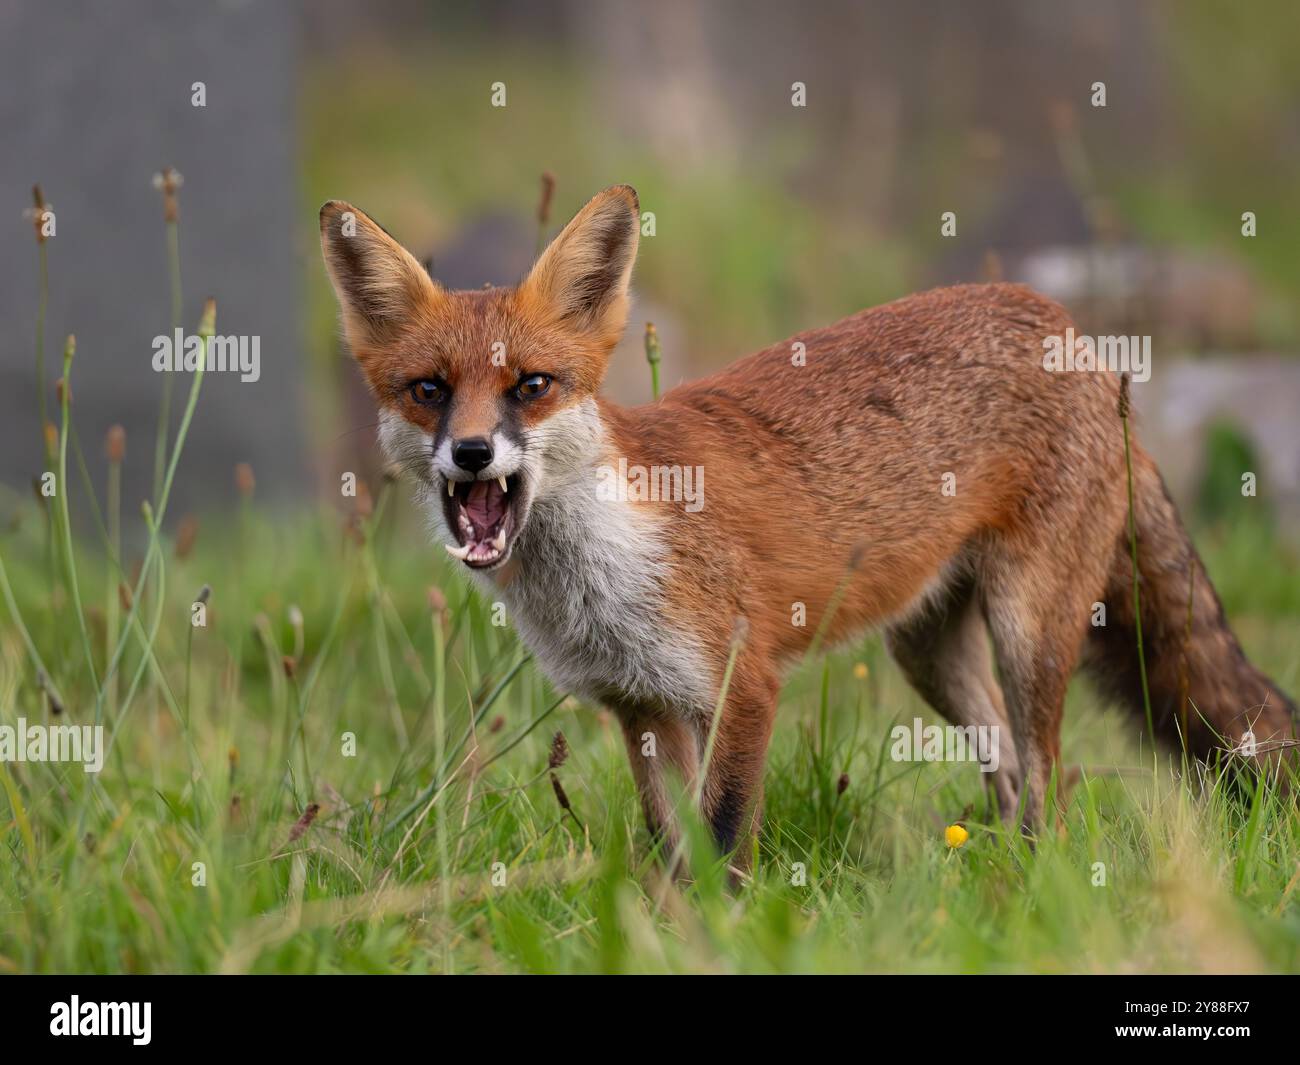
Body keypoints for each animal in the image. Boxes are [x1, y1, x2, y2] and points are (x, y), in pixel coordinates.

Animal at [319, 184, 1297, 862]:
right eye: (430, 391)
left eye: (530, 385)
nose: (472, 453)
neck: (606, 568)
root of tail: (1070, 326)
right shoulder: (640, 704)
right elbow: (671, 850)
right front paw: (674, 936)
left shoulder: (745, 683)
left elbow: (721, 840)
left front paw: (725, 935)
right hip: (928, 654)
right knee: (1015, 775)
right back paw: (995, 882)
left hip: (1029, 630)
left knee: (1053, 779)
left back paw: (1036, 881)